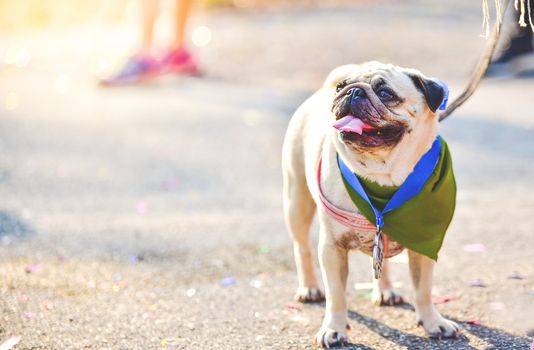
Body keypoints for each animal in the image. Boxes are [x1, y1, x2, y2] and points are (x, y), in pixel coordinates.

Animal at [282, 62, 462, 348]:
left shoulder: (423, 247)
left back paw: (386, 291)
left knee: (382, 261)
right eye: (341, 87)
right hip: (296, 200)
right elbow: (336, 295)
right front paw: (334, 329)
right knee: (302, 248)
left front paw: (433, 322)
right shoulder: (332, 249)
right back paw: (309, 287)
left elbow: (423, 289)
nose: (352, 91)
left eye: (385, 93)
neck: (383, 176)